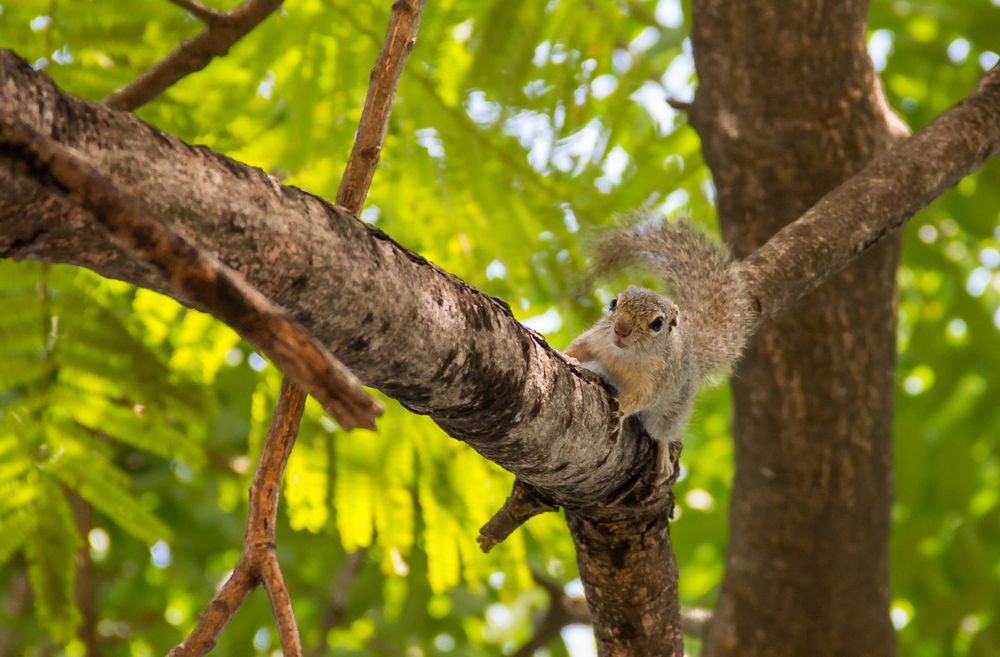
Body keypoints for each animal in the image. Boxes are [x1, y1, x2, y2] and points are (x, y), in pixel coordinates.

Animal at [568, 215, 752, 482]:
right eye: (613, 303)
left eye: (657, 324)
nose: (621, 329)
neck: (625, 354)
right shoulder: (597, 339)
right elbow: (578, 349)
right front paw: (566, 357)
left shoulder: (657, 379)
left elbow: (641, 397)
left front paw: (621, 409)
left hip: (673, 408)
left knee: (662, 431)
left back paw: (663, 455)